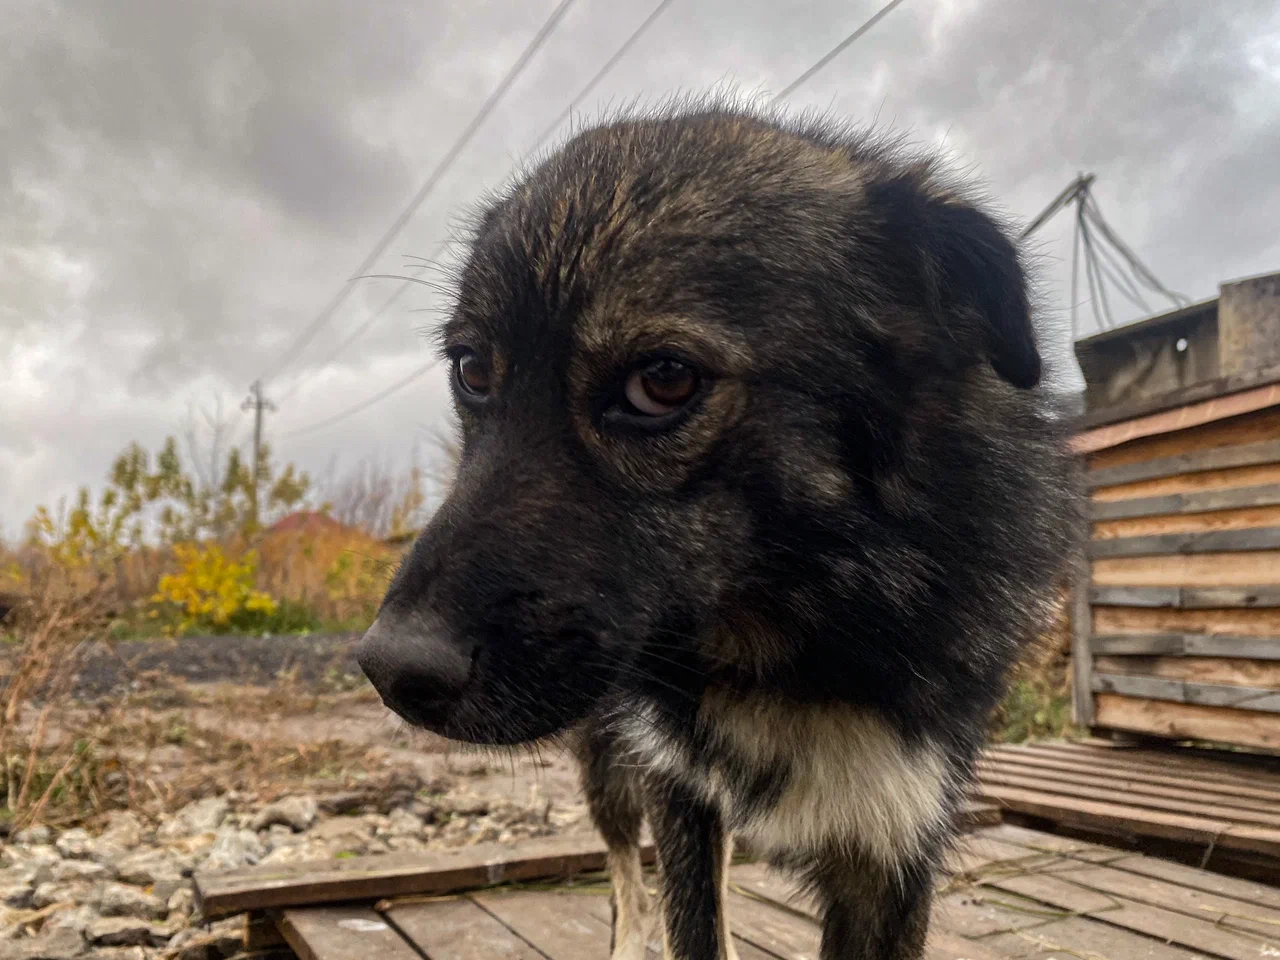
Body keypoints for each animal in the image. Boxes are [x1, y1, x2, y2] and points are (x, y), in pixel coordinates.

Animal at [358, 99, 1080, 960]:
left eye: (663, 380)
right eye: (471, 371)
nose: (390, 669)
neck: (802, 635)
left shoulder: (896, 847)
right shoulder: (675, 784)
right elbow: (688, 921)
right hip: (610, 767)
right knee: (627, 875)